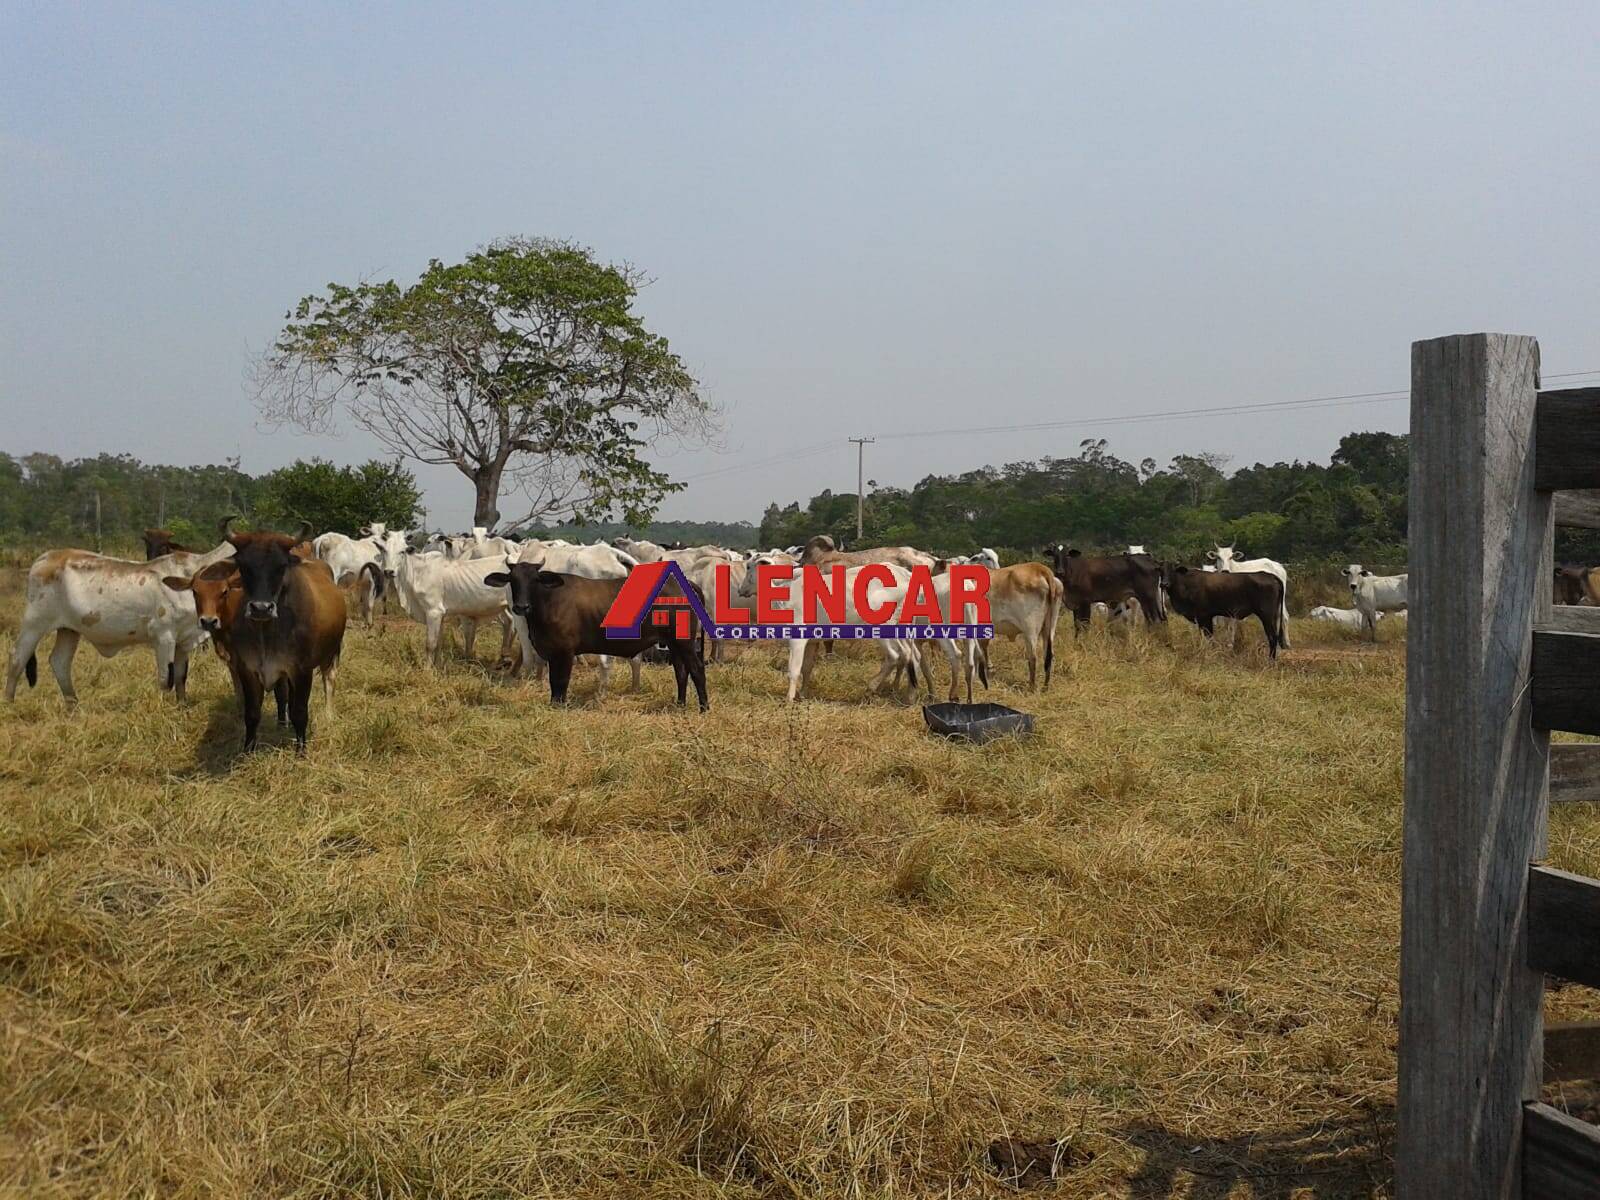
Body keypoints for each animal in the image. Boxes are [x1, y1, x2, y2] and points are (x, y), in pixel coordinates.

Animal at [3, 537, 233, 704]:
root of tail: (43, 558)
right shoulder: (164, 636)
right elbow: (165, 679)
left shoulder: (184, 641)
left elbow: (180, 677)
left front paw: (181, 706)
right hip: (35, 622)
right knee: (17, 657)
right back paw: (9, 703)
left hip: (69, 629)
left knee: (59, 662)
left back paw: (73, 705)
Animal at [480, 563, 707, 713]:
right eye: (512, 580)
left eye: (535, 580)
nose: (521, 606)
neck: (548, 602)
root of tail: (682, 583)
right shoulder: (552, 653)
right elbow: (554, 683)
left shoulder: (565, 652)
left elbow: (561, 681)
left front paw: (559, 708)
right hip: (674, 644)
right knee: (681, 671)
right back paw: (680, 705)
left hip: (684, 643)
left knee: (696, 669)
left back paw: (704, 708)